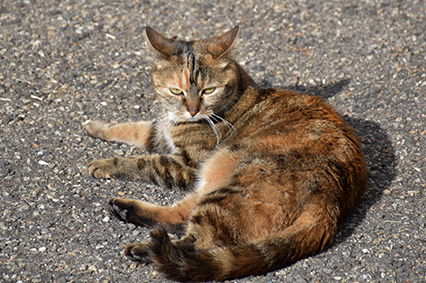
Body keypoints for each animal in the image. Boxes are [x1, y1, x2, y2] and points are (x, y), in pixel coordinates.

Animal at [82, 26, 366, 282]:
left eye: (209, 91)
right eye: (176, 91)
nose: (193, 110)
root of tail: (330, 197)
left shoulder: (184, 165)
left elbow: (141, 162)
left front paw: (104, 163)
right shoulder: (161, 133)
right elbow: (132, 128)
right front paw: (97, 127)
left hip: (226, 186)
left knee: (196, 243)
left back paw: (146, 249)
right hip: (210, 184)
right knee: (180, 216)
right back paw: (124, 210)